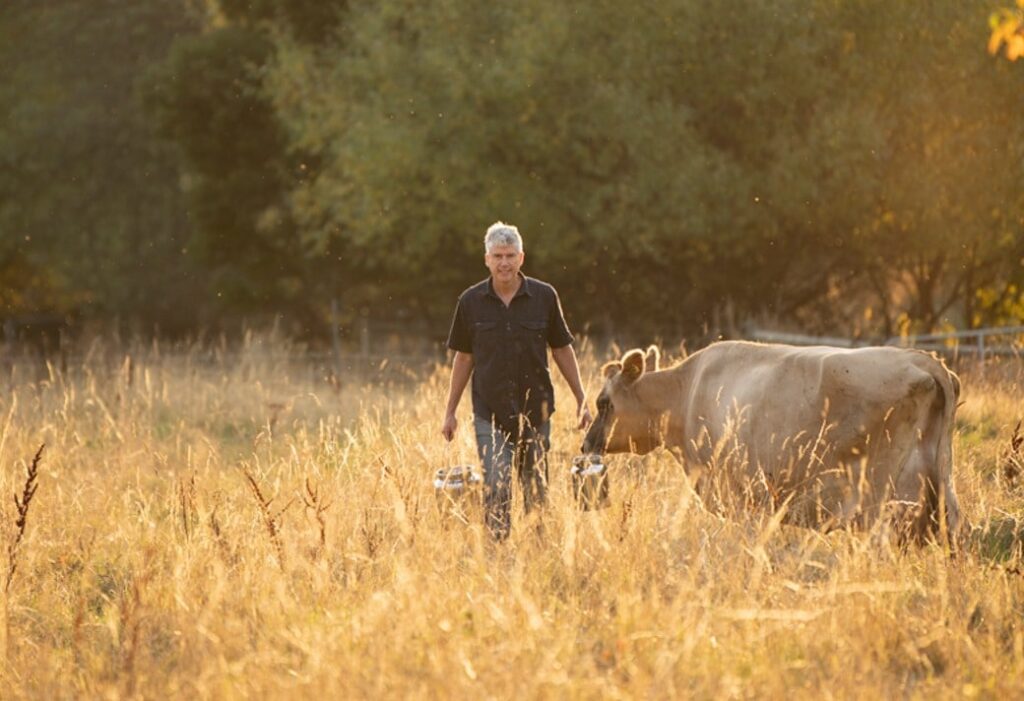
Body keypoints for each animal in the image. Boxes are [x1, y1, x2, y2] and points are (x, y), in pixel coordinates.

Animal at [585, 341, 958, 544]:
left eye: (604, 402)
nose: (586, 445)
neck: (684, 393)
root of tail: (920, 359)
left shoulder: (740, 495)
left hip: (885, 499)